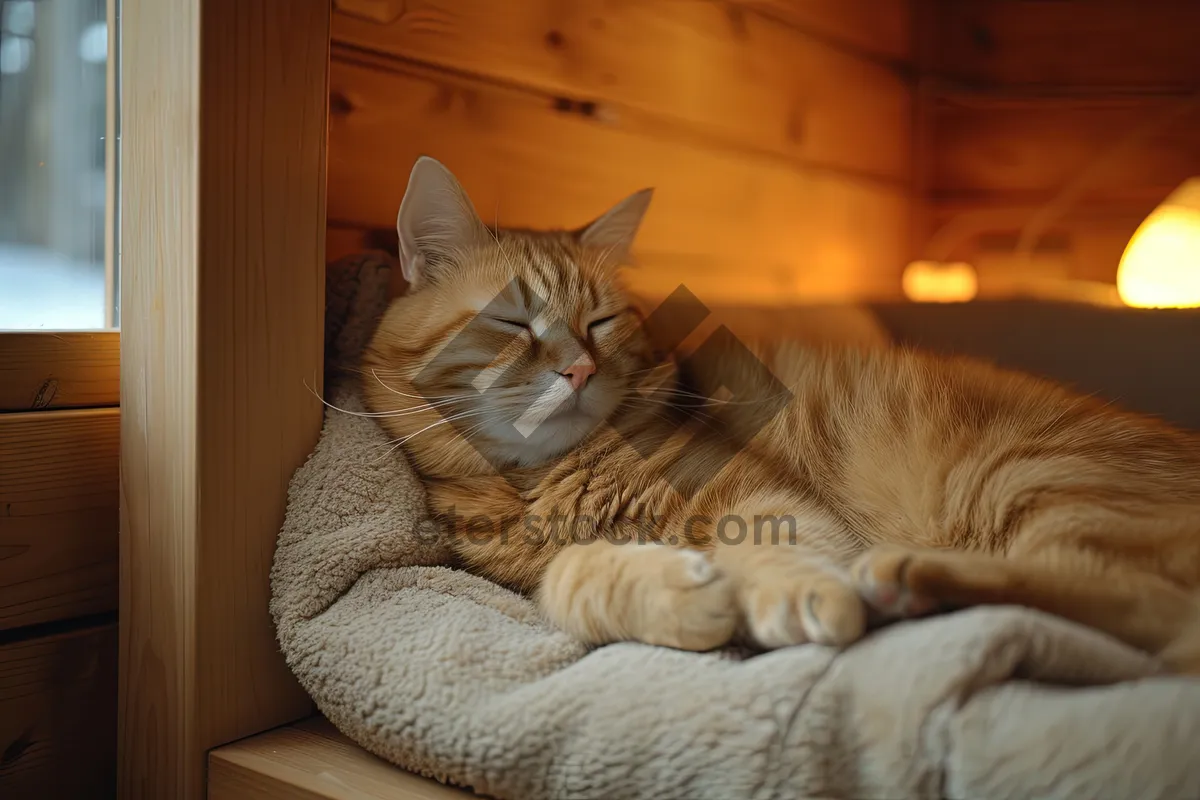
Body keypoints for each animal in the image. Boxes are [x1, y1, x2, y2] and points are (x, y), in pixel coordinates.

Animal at [360, 154, 1200, 671]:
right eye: (512, 322)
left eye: (601, 322)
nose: (580, 370)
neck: (548, 481)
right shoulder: (520, 578)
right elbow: (568, 579)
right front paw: (682, 596)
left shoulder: (764, 497)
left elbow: (778, 549)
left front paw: (792, 597)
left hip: (1026, 480)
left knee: (1137, 606)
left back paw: (903, 578)